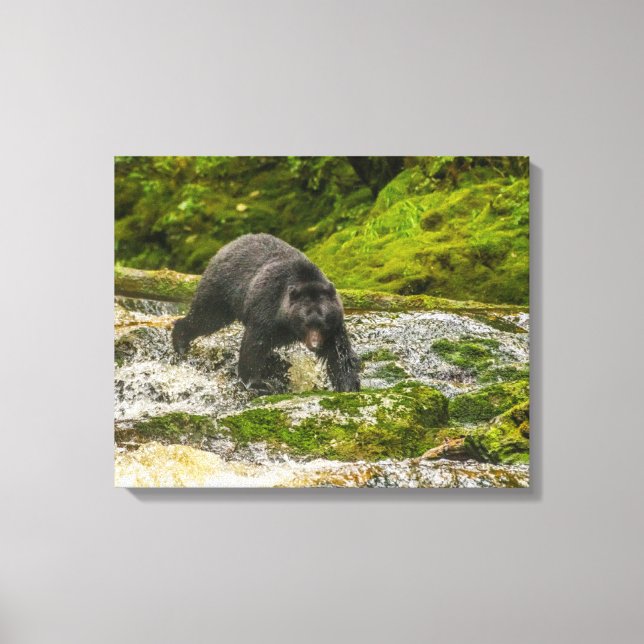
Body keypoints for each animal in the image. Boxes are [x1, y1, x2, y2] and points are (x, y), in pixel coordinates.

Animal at [172, 233, 360, 393]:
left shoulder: (334, 325)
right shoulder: (267, 307)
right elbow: (255, 344)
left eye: (323, 323)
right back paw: (180, 342)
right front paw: (258, 383)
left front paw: (349, 385)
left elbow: (339, 353)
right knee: (205, 317)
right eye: (305, 322)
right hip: (222, 290)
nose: (315, 345)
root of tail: (227, 246)